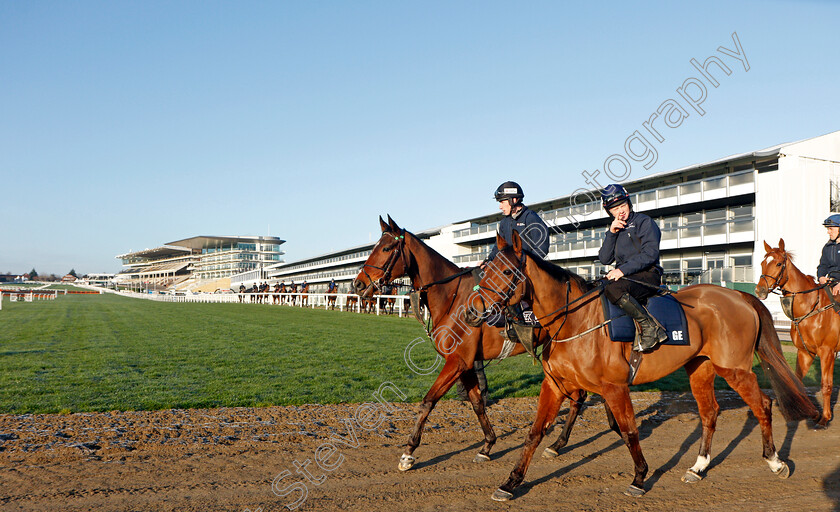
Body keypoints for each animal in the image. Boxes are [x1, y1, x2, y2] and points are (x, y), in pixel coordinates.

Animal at [352, 216, 592, 472]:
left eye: (387, 248)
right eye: (375, 247)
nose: (357, 284)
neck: (452, 296)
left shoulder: (457, 362)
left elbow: (428, 402)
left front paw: (408, 452)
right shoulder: (465, 365)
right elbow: (477, 403)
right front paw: (487, 445)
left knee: (579, 395)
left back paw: (558, 443)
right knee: (578, 395)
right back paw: (557, 443)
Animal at [472, 231, 820, 500]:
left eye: (507, 273)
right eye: (484, 270)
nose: (475, 311)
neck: (574, 320)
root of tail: (739, 295)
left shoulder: (614, 387)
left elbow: (629, 431)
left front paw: (640, 477)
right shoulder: (555, 386)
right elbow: (534, 434)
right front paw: (511, 482)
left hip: (734, 370)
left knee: (763, 405)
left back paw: (775, 461)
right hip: (700, 369)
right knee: (710, 413)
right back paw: (698, 467)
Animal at [756, 240, 840, 428]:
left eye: (778, 264)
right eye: (763, 262)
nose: (760, 291)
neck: (812, 308)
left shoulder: (827, 353)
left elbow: (826, 385)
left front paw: (825, 418)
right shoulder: (804, 353)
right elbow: (798, 381)